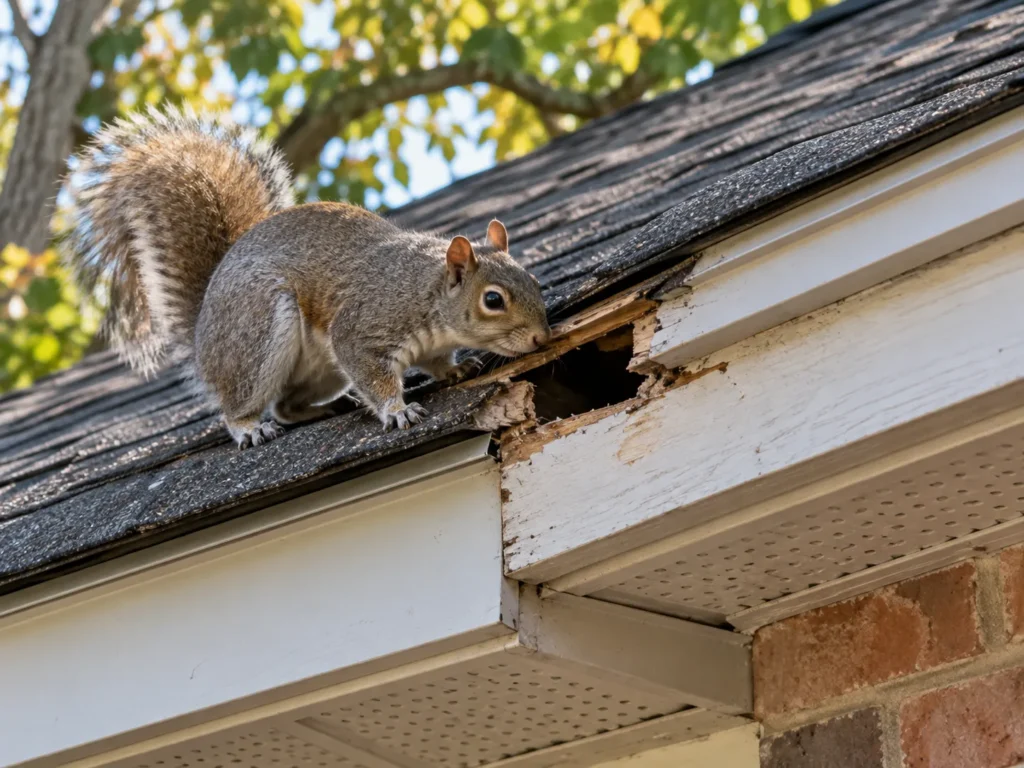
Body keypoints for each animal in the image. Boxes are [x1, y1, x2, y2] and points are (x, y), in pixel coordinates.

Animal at [65, 107, 551, 448]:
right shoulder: (365, 326)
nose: (541, 338)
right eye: (493, 300)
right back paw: (249, 428)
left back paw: (330, 406)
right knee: (243, 404)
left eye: (535, 282)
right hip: (259, 331)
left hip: (321, 370)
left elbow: (437, 362)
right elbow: (373, 371)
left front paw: (455, 368)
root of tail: (203, 336)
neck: (426, 291)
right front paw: (397, 411)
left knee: (285, 405)